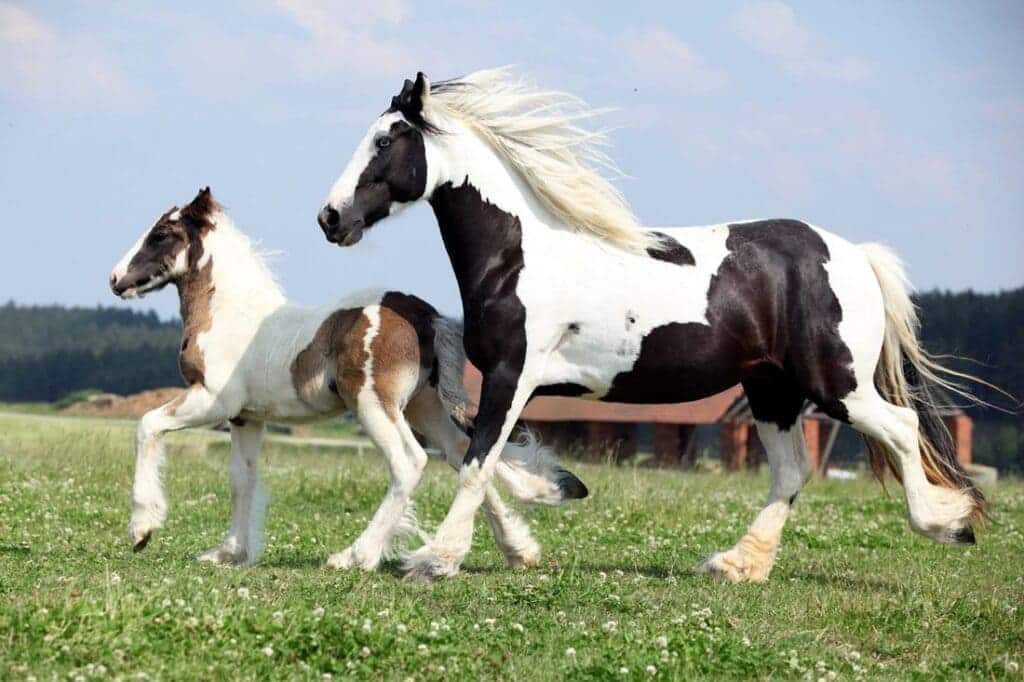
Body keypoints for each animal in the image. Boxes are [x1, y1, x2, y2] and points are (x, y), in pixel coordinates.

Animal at [109, 187, 589, 569]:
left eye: (160, 234)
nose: (115, 279)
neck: (234, 316)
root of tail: (422, 314)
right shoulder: (247, 417)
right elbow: (241, 479)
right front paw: (228, 552)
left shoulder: (212, 401)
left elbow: (147, 425)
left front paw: (143, 529)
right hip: (424, 405)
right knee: (464, 454)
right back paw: (516, 550)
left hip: (374, 404)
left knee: (410, 463)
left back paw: (355, 556)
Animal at [317, 67, 983, 577]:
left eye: (385, 142)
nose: (330, 217)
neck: (518, 254)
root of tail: (856, 255)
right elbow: (476, 459)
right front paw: (547, 498)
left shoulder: (512, 376)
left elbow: (476, 463)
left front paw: (436, 560)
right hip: (772, 389)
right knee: (792, 470)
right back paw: (738, 565)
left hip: (836, 383)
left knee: (901, 428)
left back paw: (948, 524)